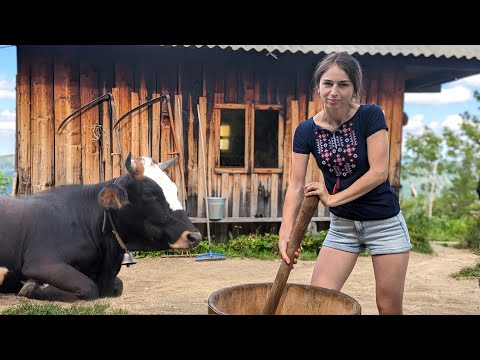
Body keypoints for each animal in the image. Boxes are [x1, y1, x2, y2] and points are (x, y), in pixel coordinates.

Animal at [0, 153, 201, 302]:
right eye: (150, 193)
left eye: (175, 189)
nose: (194, 236)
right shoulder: (40, 262)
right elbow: (89, 287)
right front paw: (31, 287)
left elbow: (118, 285)